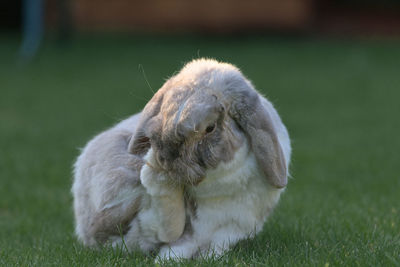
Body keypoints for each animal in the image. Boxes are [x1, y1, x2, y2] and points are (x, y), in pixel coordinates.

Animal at [72, 58, 290, 260]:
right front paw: (167, 260)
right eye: (163, 110)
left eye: (210, 127)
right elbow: (174, 239)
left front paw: (208, 258)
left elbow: (214, 244)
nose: (164, 157)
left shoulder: (232, 227)